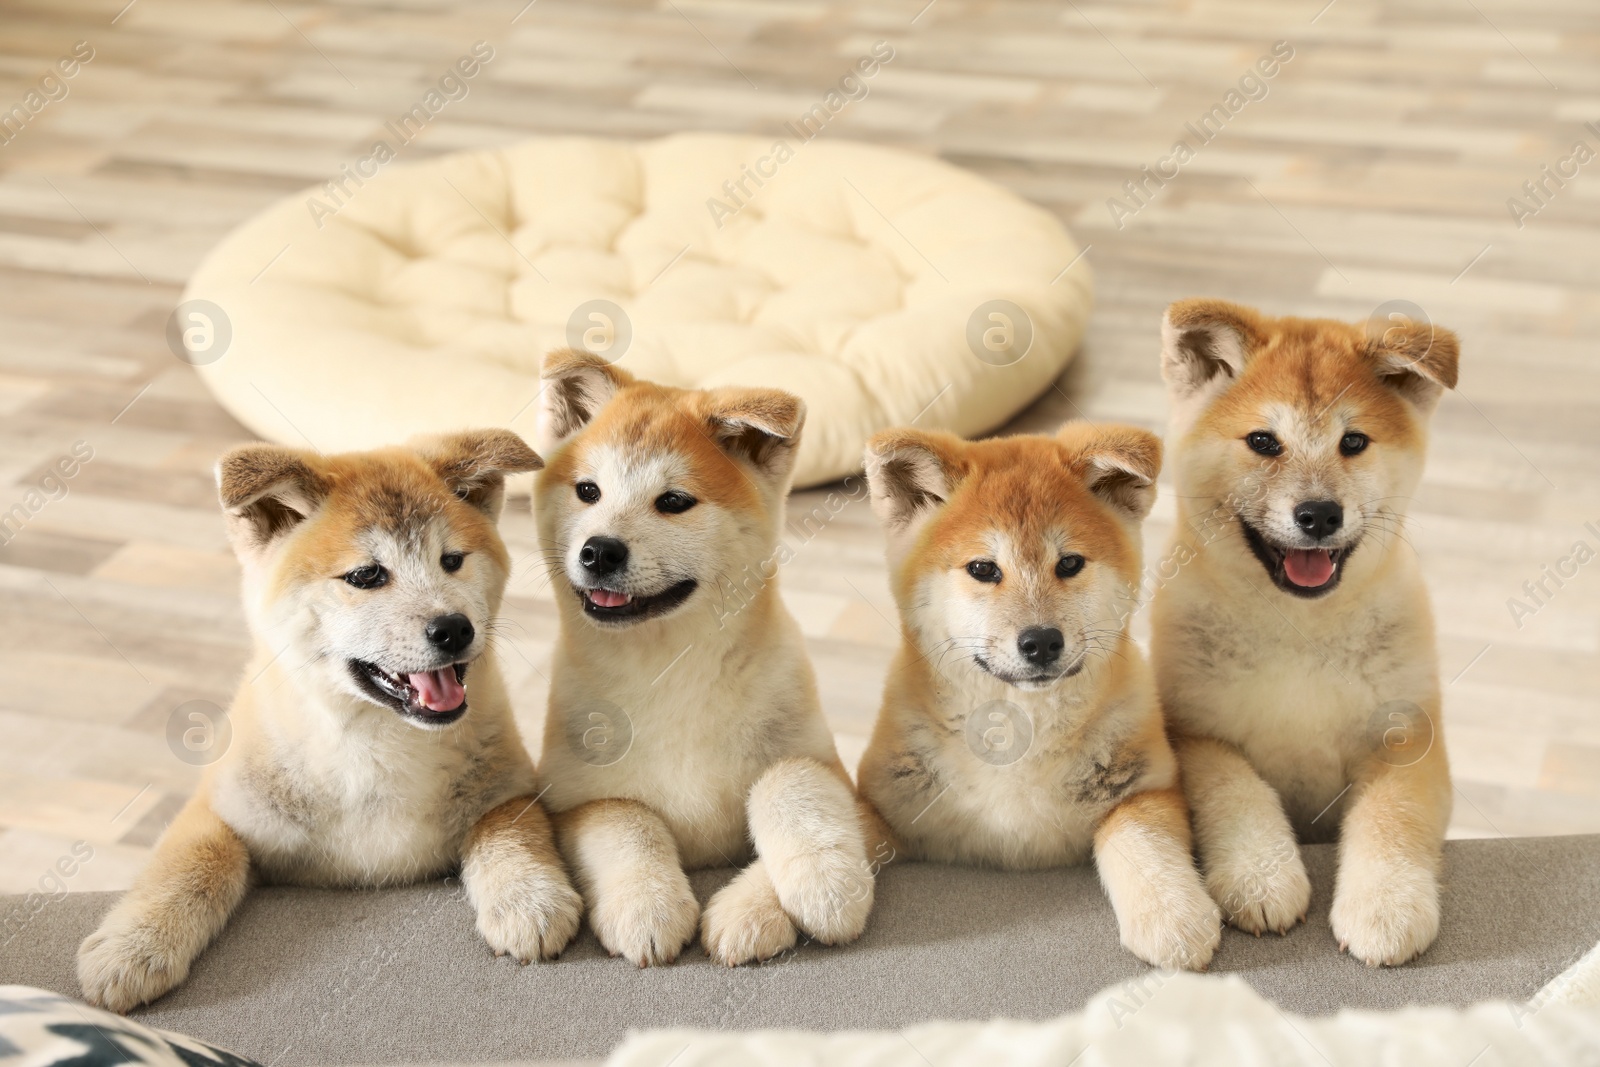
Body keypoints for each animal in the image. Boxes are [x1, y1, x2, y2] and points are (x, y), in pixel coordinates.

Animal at [75, 428, 585, 1017]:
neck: (371, 745)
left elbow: (510, 828)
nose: (455, 628)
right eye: (366, 575)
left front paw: (528, 897)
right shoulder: (222, 806)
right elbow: (188, 864)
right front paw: (131, 947)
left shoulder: (510, 786)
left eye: (452, 560)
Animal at [534, 350, 883, 966]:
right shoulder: (572, 801)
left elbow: (790, 779)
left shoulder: (847, 788)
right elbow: (626, 818)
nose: (599, 551)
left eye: (673, 502)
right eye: (588, 491)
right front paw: (646, 904)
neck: (671, 671)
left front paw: (805, 893)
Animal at [864, 422, 1222, 972]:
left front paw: (1171, 915)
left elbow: (1141, 840)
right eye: (983, 569)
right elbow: (831, 827)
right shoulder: (884, 799)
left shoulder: (1147, 788)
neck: (1019, 737)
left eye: (1069, 563)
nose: (1041, 641)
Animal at [1152, 299, 1465, 966]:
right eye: (1263, 442)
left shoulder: (1407, 738)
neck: (1300, 628)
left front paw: (1385, 907)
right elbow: (1237, 792)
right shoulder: (1193, 734)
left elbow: (1391, 816)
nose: (1319, 515)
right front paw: (1260, 877)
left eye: (1354, 442)